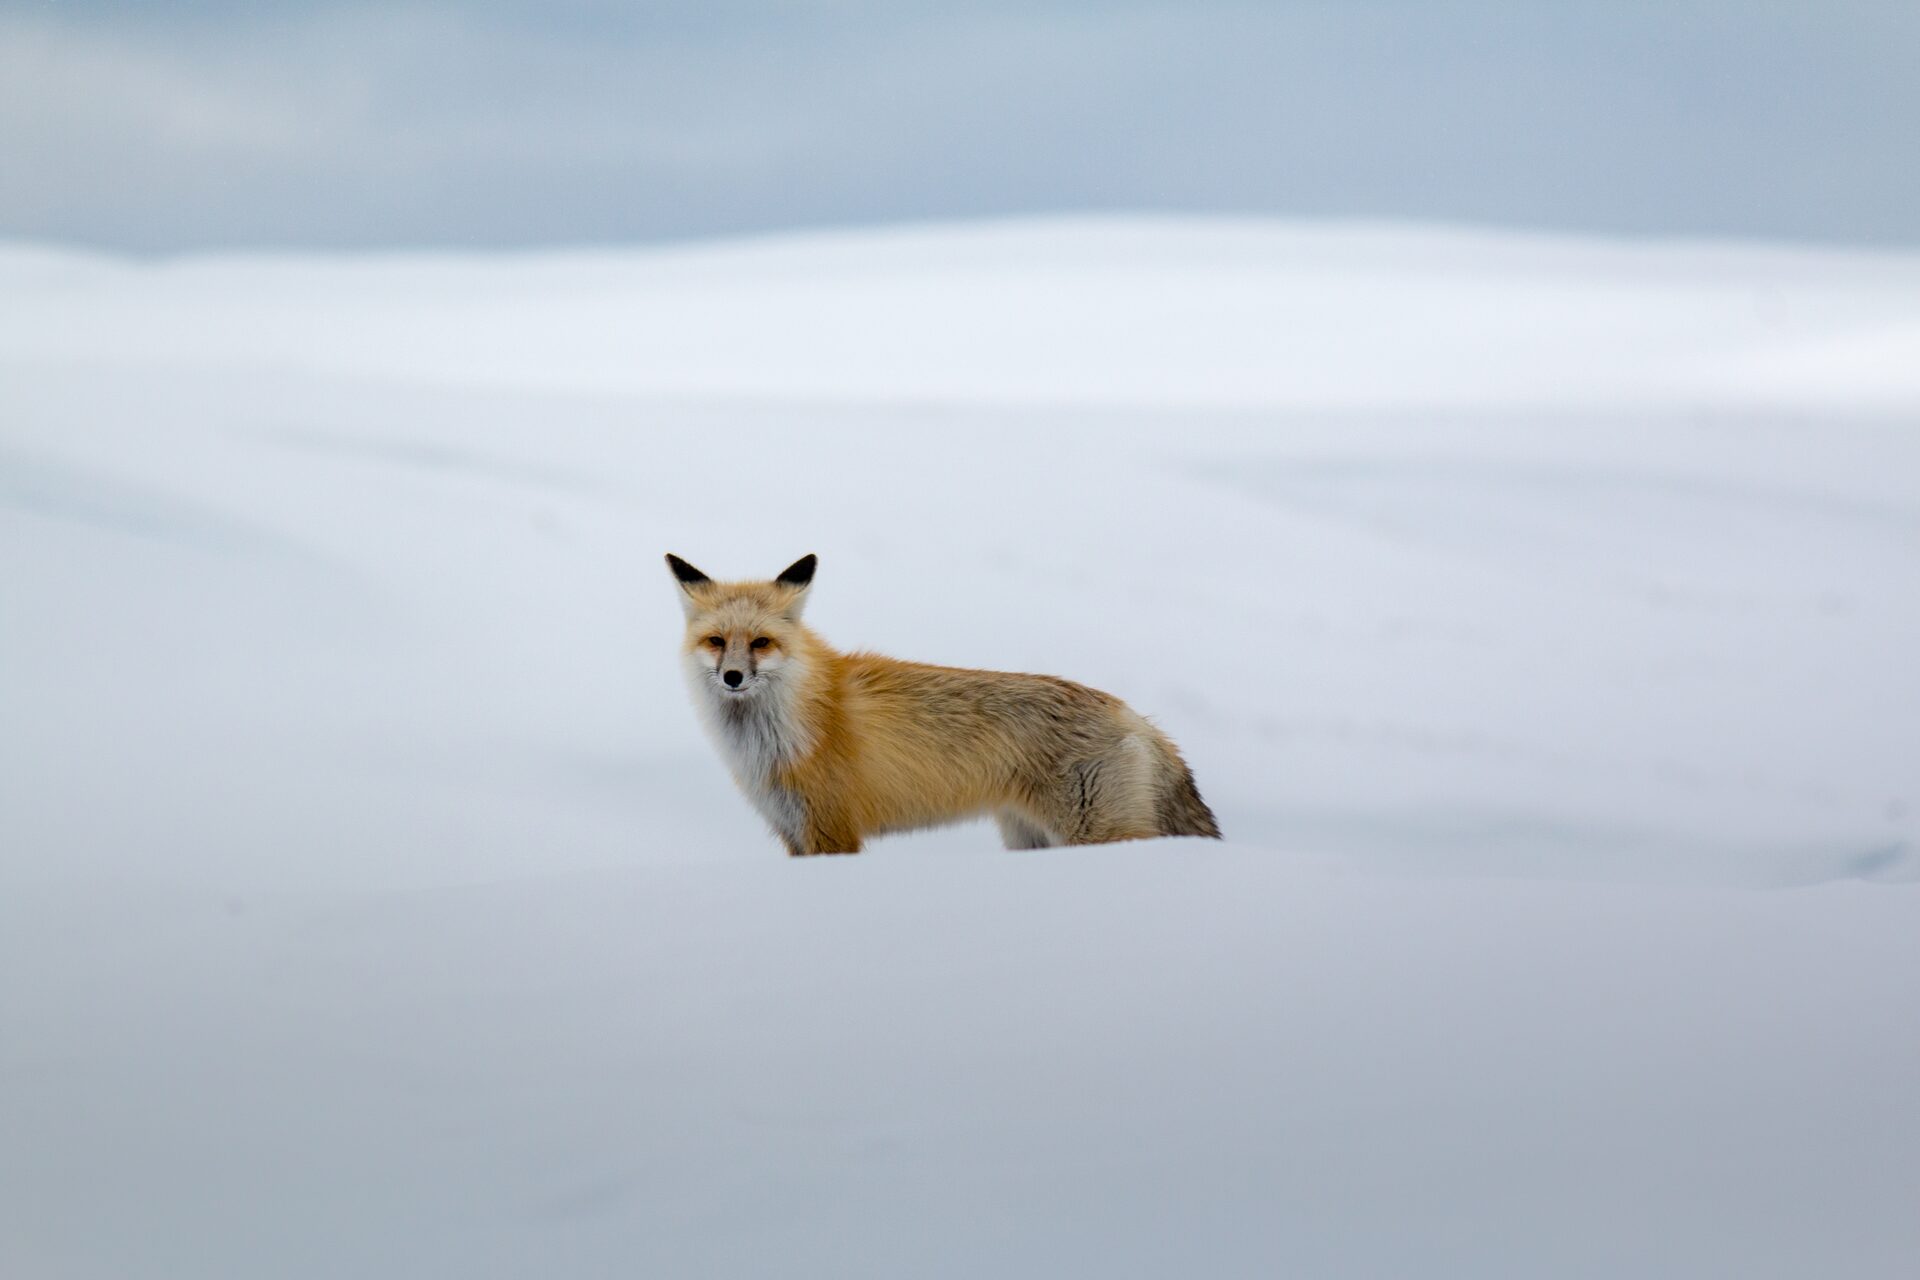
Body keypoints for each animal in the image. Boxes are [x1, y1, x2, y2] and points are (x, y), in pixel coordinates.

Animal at [666, 552, 1221, 856]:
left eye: (761, 643)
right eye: (716, 641)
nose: (733, 677)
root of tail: (1139, 719)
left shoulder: (832, 830)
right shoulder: (793, 831)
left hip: (1096, 834)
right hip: (1029, 838)